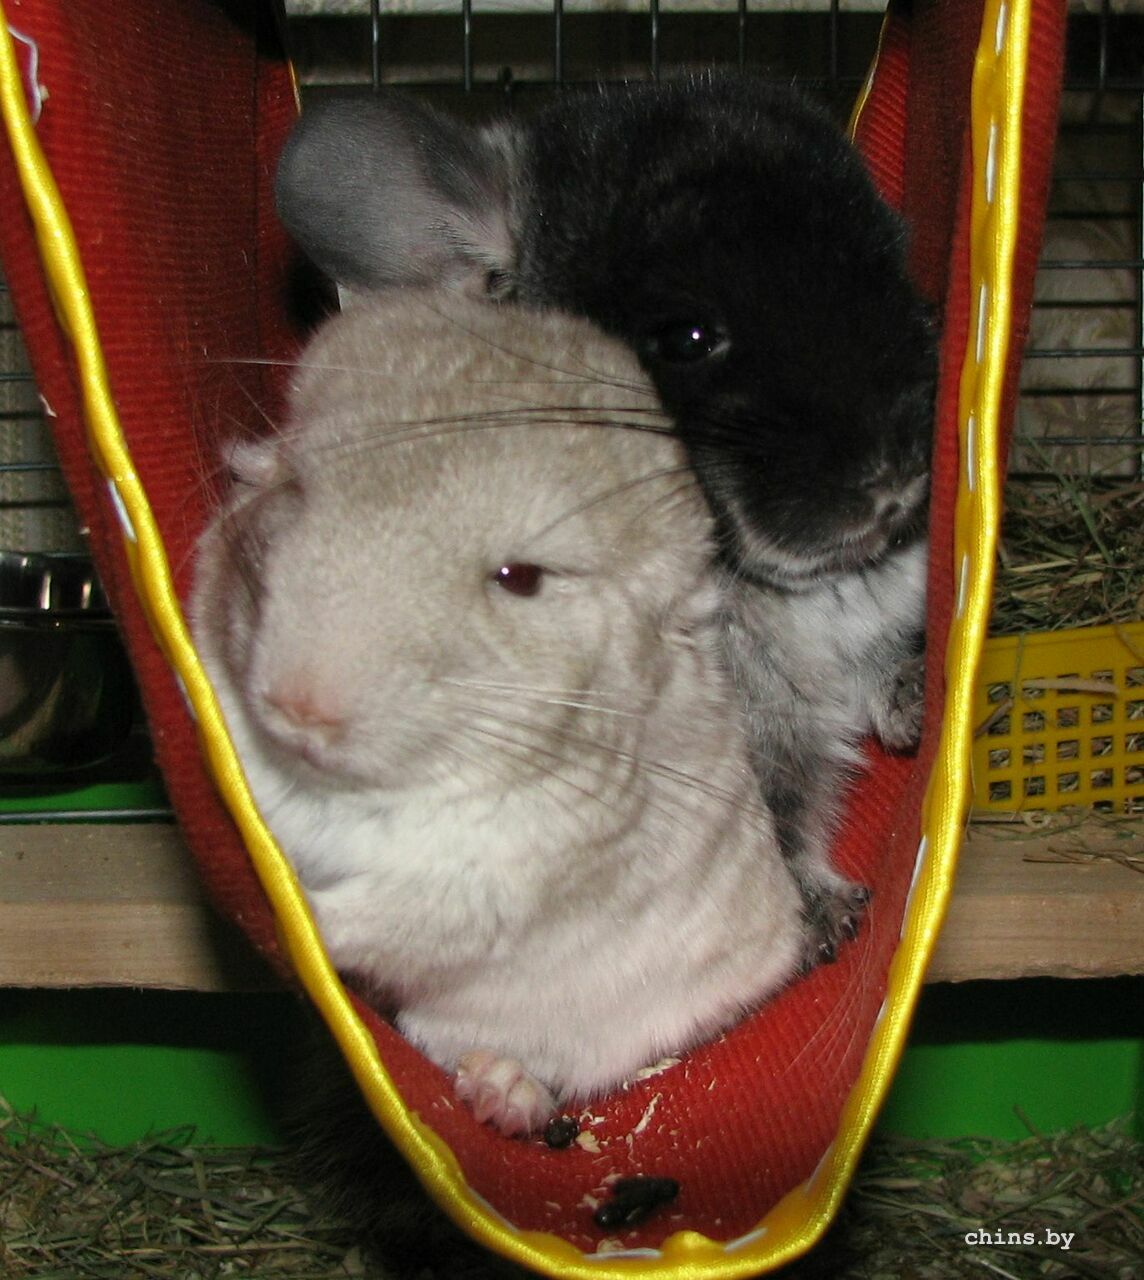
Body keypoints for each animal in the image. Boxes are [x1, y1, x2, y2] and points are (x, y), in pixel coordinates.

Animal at [189, 289, 805, 1137]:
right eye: (298, 494)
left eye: (521, 578)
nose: (299, 706)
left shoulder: (500, 880)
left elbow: (370, 916)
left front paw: (296, 905)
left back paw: (503, 1093)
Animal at [274, 73, 938, 966]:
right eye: (686, 336)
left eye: (894, 261)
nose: (897, 483)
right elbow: (765, 830)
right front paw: (818, 925)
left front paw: (913, 702)